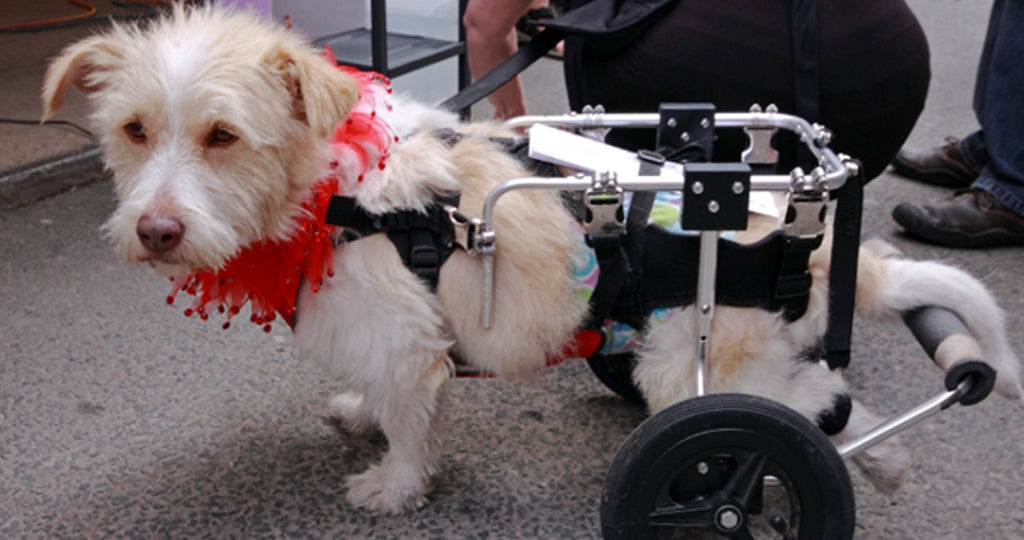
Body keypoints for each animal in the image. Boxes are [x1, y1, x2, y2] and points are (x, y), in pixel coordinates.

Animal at [44, 4, 1019, 514]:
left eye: (223, 136)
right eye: (134, 130)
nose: (156, 231)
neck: (331, 192)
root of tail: (806, 243)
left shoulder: (406, 341)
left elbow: (412, 422)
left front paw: (394, 486)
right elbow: (383, 396)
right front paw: (363, 415)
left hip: (708, 364)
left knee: (817, 404)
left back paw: (850, 464)